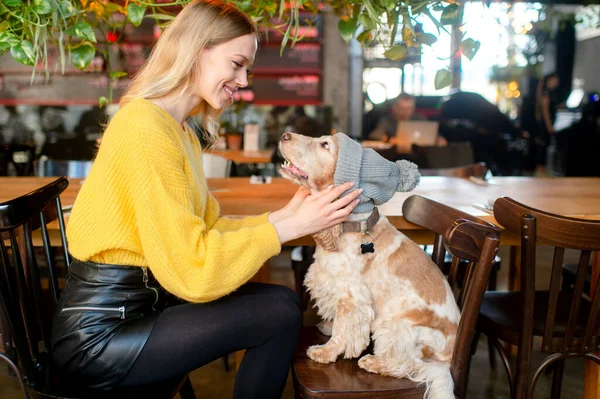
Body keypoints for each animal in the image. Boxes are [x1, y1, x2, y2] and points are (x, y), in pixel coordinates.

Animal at [280, 133, 460, 398]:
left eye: (325, 145)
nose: (285, 135)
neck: (351, 225)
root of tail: (450, 358)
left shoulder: (352, 299)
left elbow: (343, 331)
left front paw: (325, 351)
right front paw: (327, 327)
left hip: (397, 325)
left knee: (405, 363)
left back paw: (374, 362)